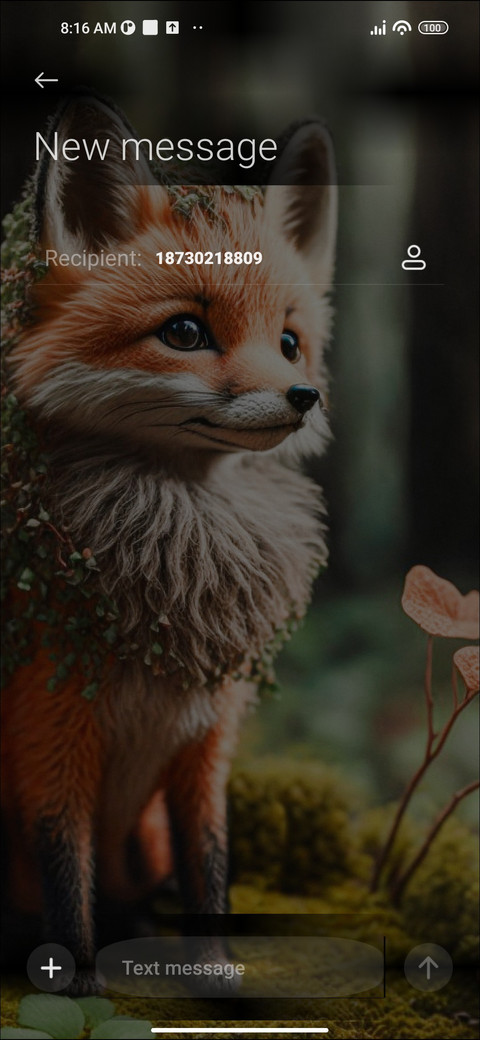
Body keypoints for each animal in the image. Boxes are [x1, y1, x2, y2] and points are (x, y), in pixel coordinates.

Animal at [1, 96, 337, 995]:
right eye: (184, 331)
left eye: (289, 341)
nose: (303, 395)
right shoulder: (52, 731)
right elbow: (65, 868)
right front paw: (76, 988)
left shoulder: (208, 738)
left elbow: (209, 862)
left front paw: (215, 974)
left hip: (143, 836)